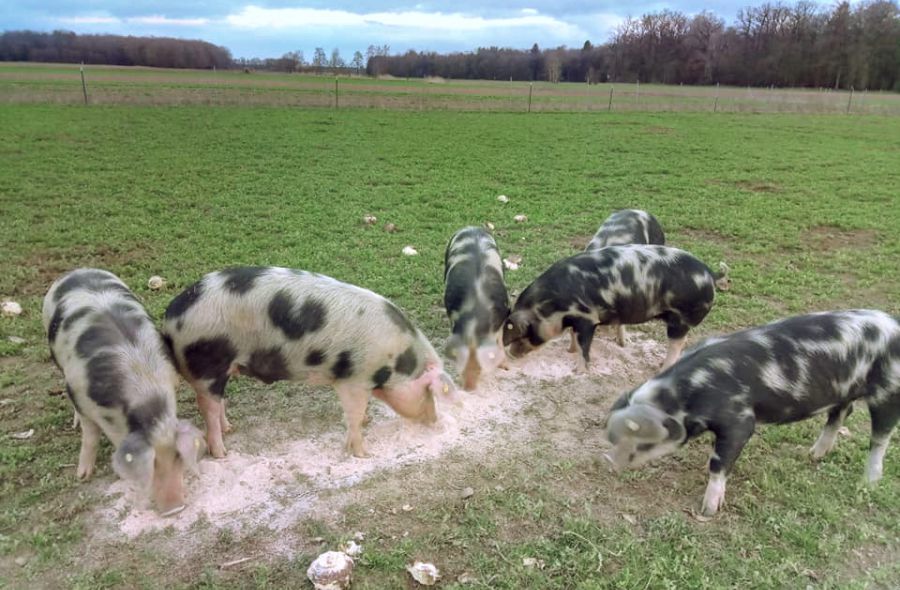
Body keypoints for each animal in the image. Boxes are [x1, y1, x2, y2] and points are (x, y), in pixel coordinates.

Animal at [43, 270, 204, 520]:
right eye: (151, 465)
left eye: (178, 457)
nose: (175, 508)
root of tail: (78, 270)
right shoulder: (80, 394)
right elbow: (90, 437)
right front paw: (83, 476)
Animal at [160, 266, 458, 460]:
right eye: (429, 391)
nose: (435, 421)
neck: (396, 362)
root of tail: (170, 319)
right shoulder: (353, 380)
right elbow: (353, 415)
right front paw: (364, 454)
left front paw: (366, 424)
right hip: (206, 366)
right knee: (208, 407)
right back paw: (222, 453)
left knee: (218, 402)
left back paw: (229, 428)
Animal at [506, 245, 716, 374]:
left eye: (525, 333)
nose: (510, 355)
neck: (553, 305)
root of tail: (710, 274)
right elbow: (573, 336)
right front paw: (569, 350)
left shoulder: (588, 317)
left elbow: (584, 345)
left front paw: (578, 371)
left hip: (681, 317)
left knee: (677, 343)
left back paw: (663, 368)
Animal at [604, 310, 900, 520]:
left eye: (643, 440)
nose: (608, 460)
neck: (689, 393)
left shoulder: (740, 418)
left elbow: (719, 462)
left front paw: (708, 511)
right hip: (843, 388)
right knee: (841, 413)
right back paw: (813, 455)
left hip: (888, 389)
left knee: (880, 437)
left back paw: (868, 482)